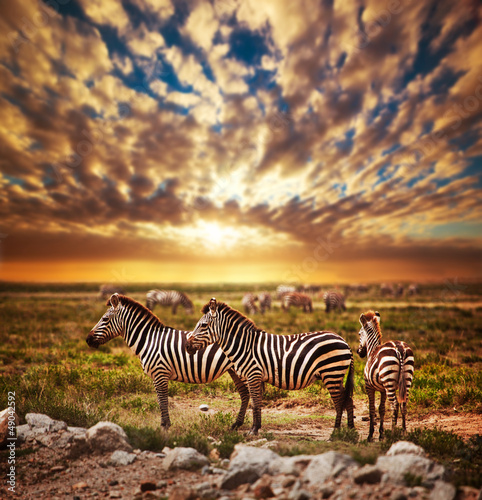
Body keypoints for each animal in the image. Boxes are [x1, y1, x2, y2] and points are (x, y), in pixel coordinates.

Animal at [86, 292, 250, 430]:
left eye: (105, 319)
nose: (88, 340)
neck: (149, 340)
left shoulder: (160, 372)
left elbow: (163, 400)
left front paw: (165, 426)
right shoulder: (155, 376)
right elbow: (160, 400)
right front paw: (164, 424)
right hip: (235, 370)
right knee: (245, 394)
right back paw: (237, 424)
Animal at [186, 298, 356, 436]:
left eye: (203, 325)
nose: (187, 346)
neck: (244, 346)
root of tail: (344, 341)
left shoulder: (253, 374)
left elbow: (255, 402)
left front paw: (253, 430)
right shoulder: (254, 376)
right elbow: (257, 401)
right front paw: (257, 427)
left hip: (331, 373)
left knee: (339, 401)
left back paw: (335, 432)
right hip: (336, 375)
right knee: (347, 399)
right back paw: (350, 430)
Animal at [356, 308, 416, 442]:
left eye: (359, 334)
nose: (359, 352)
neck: (372, 349)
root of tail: (399, 349)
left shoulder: (369, 386)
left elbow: (372, 409)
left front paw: (371, 435)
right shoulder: (382, 389)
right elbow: (381, 409)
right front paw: (381, 434)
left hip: (389, 382)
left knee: (394, 405)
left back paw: (393, 433)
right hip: (407, 379)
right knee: (403, 404)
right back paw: (404, 431)